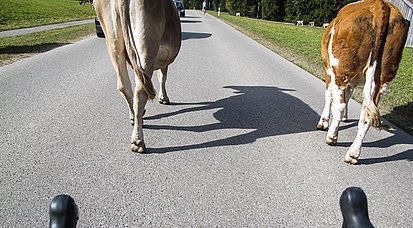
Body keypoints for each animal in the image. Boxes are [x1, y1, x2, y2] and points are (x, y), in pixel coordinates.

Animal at [96, 0, 181, 153]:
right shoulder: (164, 60)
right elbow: (162, 77)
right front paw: (164, 98)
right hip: (146, 44)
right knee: (141, 91)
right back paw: (138, 141)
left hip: (113, 42)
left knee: (124, 85)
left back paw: (134, 118)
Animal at [316, 0, 408, 164]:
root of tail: (381, 4)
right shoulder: (352, 82)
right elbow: (348, 97)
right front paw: (345, 118)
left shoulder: (329, 71)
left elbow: (330, 97)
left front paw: (324, 122)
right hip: (384, 77)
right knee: (367, 114)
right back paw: (353, 154)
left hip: (341, 69)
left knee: (339, 106)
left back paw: (332, 137)